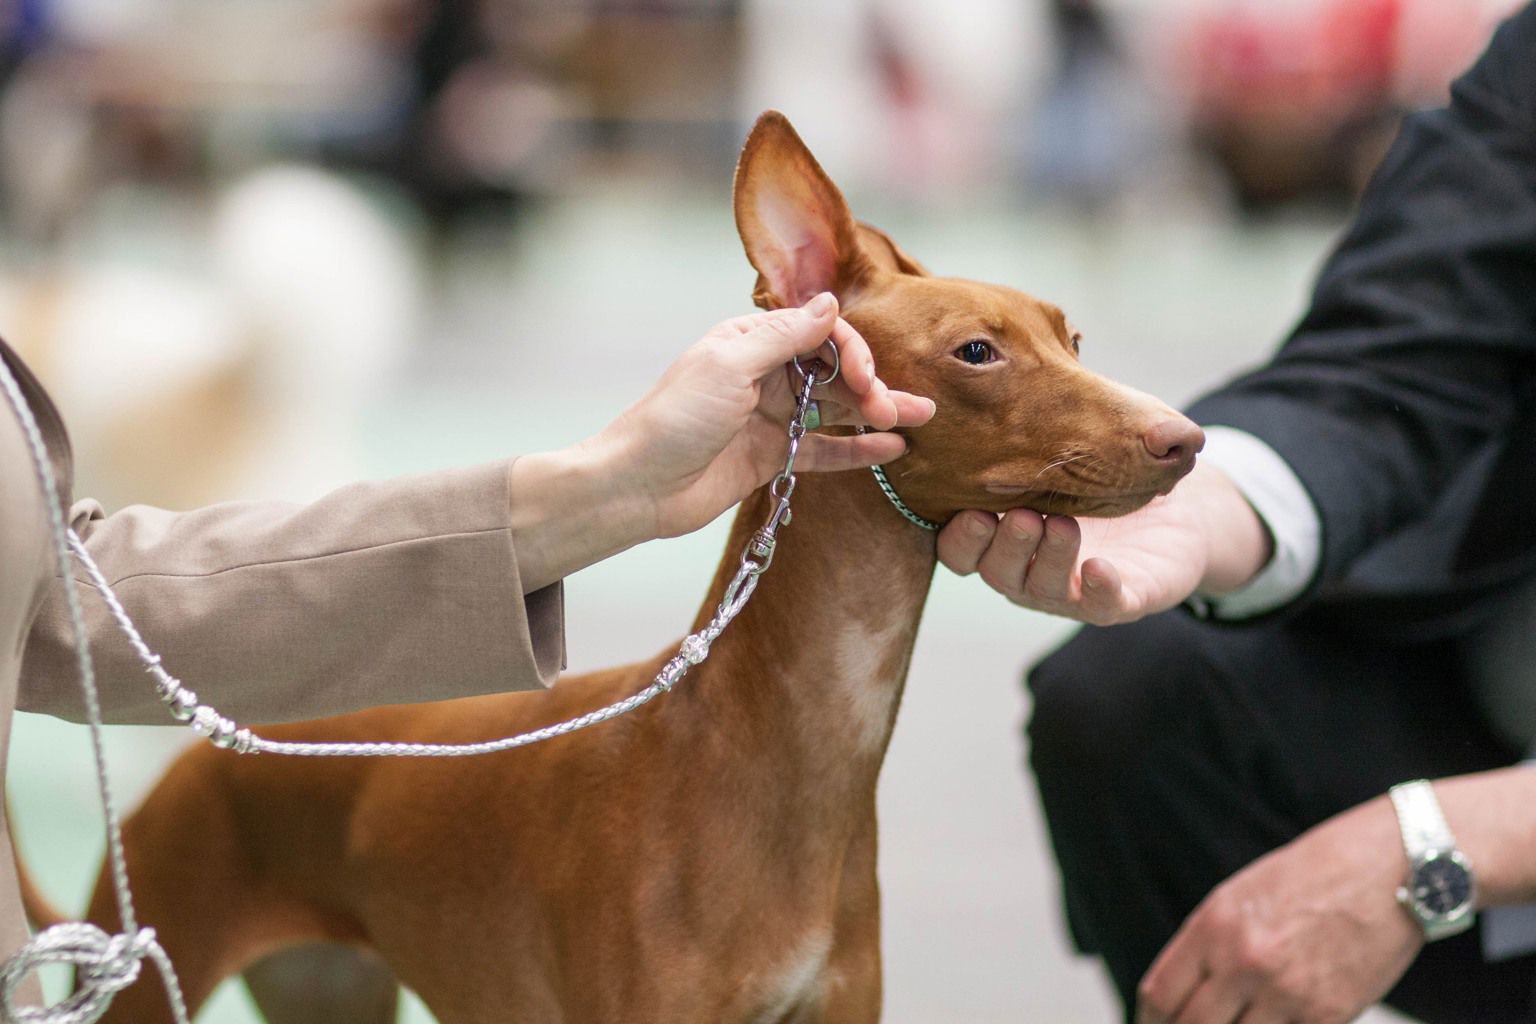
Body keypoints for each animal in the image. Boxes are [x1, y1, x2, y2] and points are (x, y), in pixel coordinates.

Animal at [38, 112, 1198, 1024]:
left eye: (1074, 337)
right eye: (976, 353)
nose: (1185, 438)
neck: (787, 754)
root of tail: (213, 747)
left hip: (333, 994)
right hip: (152, 972)